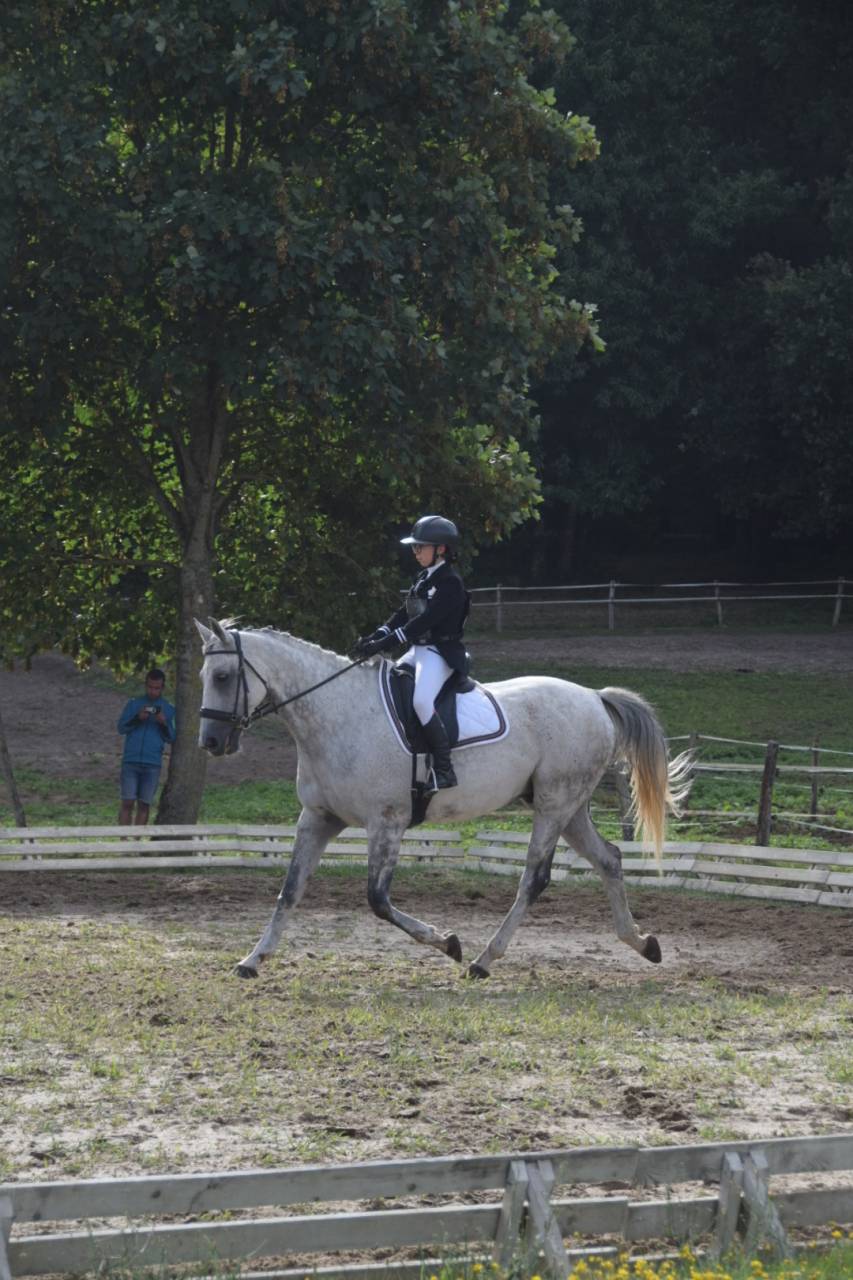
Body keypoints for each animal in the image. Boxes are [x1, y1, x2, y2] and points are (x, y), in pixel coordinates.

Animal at [195, 619, 691, 980]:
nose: (211, 743)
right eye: (205, 676)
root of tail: (593, 697)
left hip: (554, 804)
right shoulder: (317, 818)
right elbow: (289, 891)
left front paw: (449, 943)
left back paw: (483, 961)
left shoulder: (387, 822)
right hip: (569, 808)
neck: (337, 716)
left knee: (534, 879)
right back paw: (643, 944)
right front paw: (252, 960)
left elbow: (378, 900)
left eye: (222, 675)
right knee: (609, 859)